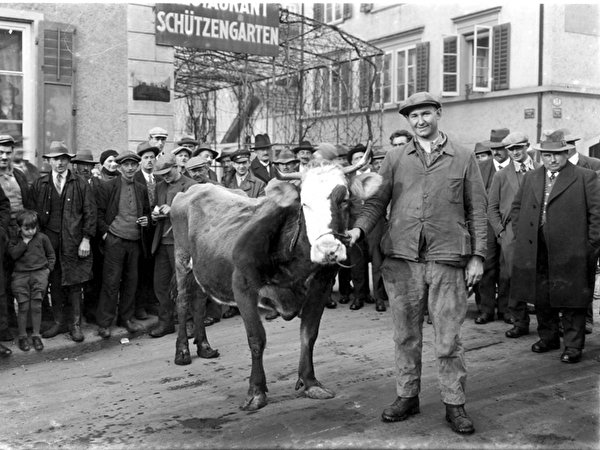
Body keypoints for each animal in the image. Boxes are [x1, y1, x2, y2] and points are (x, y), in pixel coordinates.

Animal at [171, 149, 382, 410]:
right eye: (304, 203)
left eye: (343, 200)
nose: (327, 249)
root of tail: (197, 188)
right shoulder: (242, 288)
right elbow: (256, 339)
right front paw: (256, 392)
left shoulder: (320, 287)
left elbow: (309, 334)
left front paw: (310, 382)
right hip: (181, 260)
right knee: (183, 301)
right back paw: (182, 352)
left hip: (202, 270)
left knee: (199, 303)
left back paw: (204, 347)